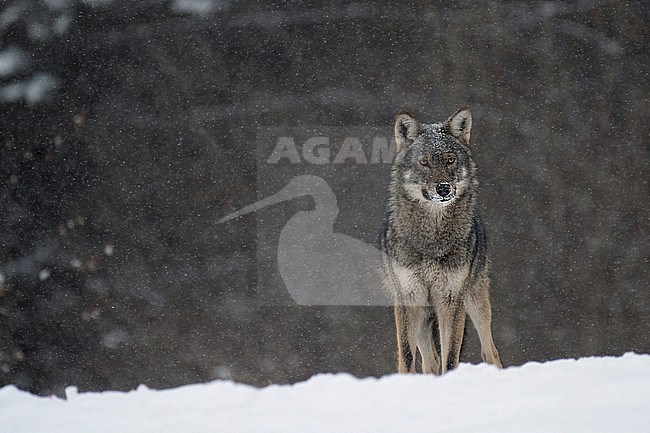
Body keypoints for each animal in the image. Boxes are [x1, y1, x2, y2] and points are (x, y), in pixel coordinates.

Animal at [380, 106, 502, 372]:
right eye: (424, 162)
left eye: (450, 160)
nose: (444, 188)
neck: (431, 239)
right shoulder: (407, 298)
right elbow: (407, 356)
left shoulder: (451, 299)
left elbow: (451, 356)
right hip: (422, 315)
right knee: (430, 360)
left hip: (476, 302)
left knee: (490, 352)